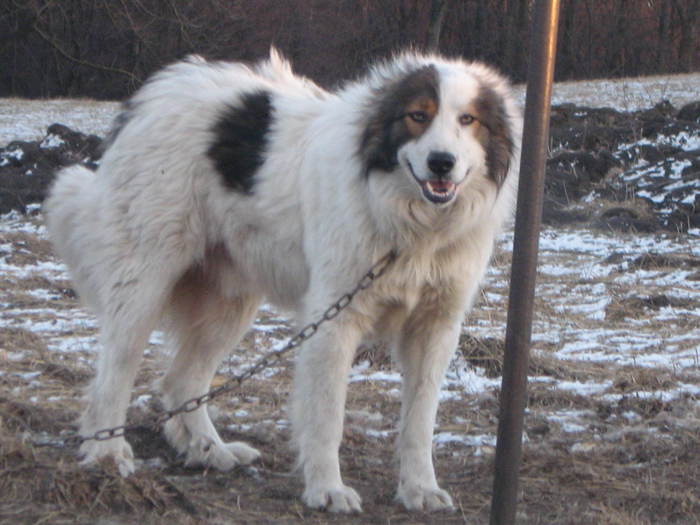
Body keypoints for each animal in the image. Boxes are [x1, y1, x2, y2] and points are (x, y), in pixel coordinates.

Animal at [43, 50, 524, 512]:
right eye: (418, 116)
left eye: (468, 120)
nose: (441, 162)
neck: (412, 228)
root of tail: (153, 94)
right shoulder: (334, 319)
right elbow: (327, 416)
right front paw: (327, 489)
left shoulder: (435, 327)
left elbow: (420, 422)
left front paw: (420, 488)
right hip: (146, 282)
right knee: (115, 373)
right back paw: (108, 454)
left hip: (229, 304)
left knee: (183, 382)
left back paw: (210, 450)